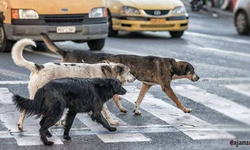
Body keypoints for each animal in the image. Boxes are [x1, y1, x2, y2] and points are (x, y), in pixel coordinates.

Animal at [42, 33, 200, 115]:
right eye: (192, 70)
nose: (198, 77)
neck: (173, 66)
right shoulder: (166, 87)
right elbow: (177, 100)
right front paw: (185, 109)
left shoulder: (146, 85)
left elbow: (140, 98)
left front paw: (136, 109)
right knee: (114, 96)